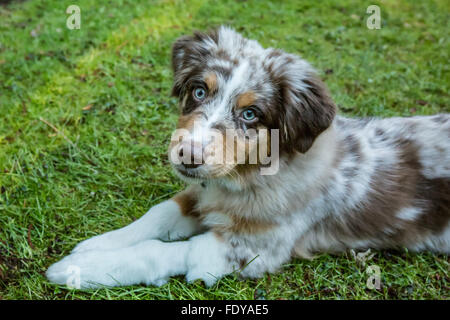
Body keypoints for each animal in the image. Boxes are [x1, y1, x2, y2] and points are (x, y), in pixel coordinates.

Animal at [46, 26, 450, 288]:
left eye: (251, 114)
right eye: (198, 91)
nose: (187, 156)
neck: (245, 177)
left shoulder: (251, 250)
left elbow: (158, 252)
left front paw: (81, 269)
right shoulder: (203, 191)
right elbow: (158, 214)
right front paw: (97, 245)